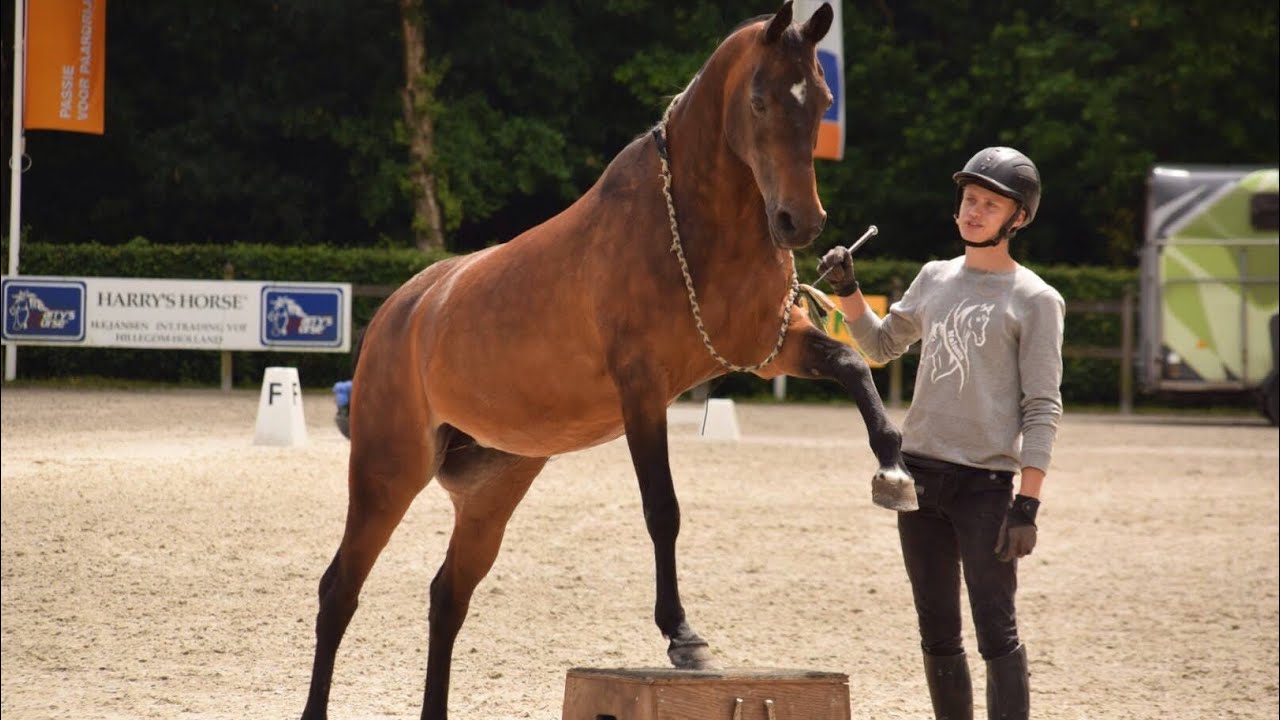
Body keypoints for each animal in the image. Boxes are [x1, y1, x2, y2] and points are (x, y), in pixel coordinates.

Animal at [301, 4, 915, 718]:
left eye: (821, 101)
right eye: (760, 99)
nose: (801, 223)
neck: (694, 228)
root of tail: (401, 309)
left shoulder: (771, 350)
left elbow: (852, 366)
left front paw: (894, 468)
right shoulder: (642, 390)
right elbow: (663, 509)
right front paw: (683, 637)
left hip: (494, 489)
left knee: (447, 596)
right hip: (388, 472)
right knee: (339, 590)